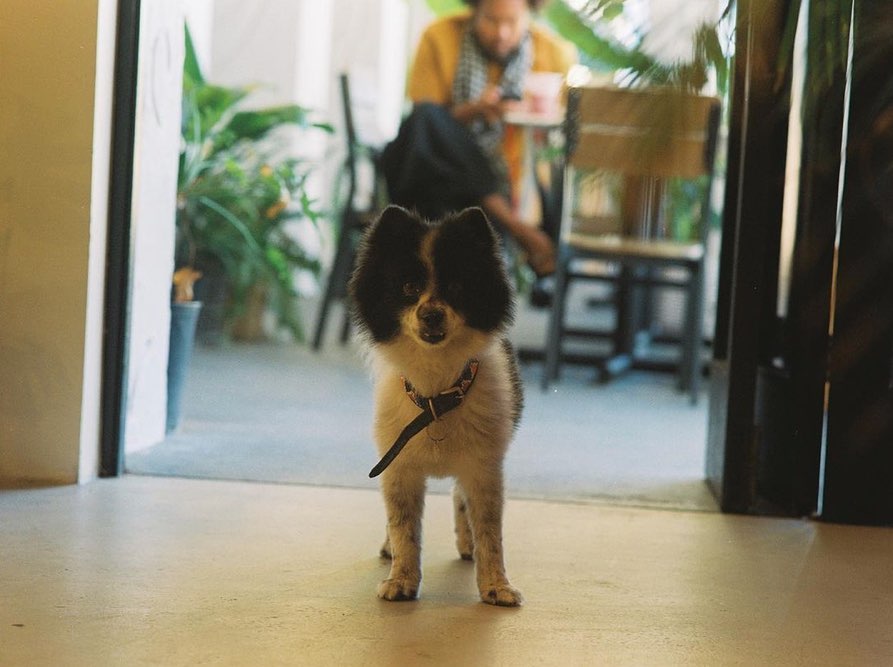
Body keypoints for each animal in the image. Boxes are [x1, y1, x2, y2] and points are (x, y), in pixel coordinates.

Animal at [346, 206, 524, 608]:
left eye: (457, 287)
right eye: (409, 288)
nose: (431, 314)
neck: (436, 394)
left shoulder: (484, 467)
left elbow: (490, 531)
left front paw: (496, 585)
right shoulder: (398, 467)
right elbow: (404, 528)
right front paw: (401, 580)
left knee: (460, 500)